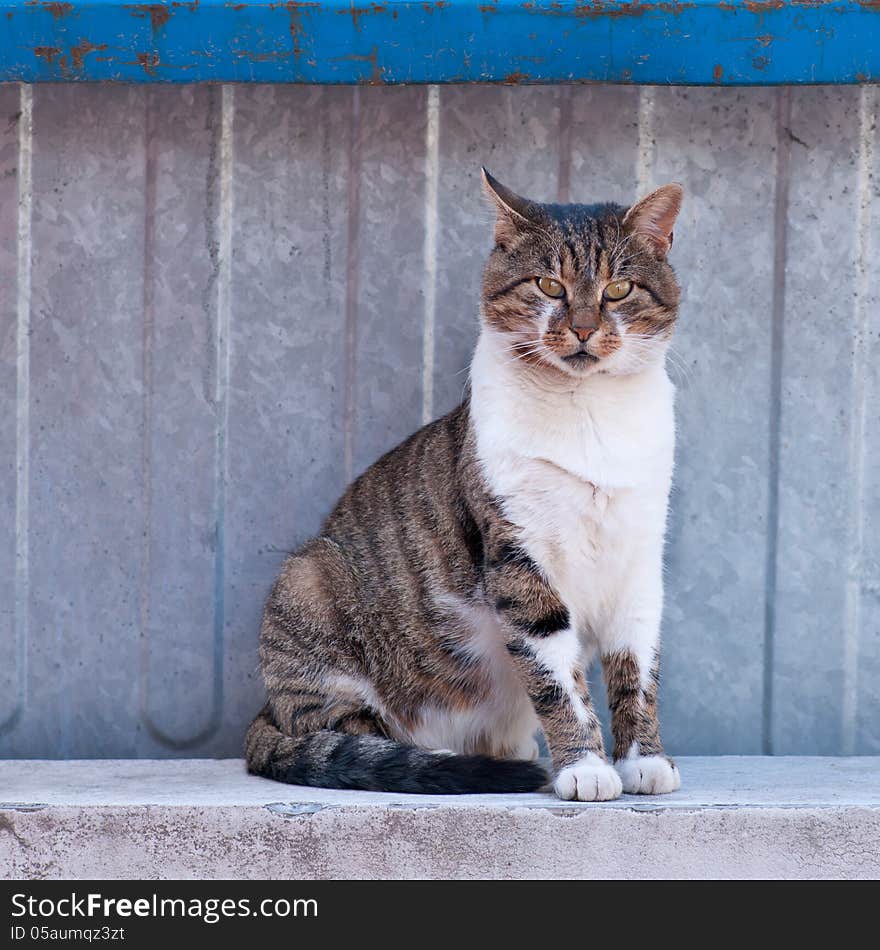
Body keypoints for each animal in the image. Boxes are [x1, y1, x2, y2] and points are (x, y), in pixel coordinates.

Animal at [244, 167, 684, 800]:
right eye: (548, 285)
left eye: (620, 289)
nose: (582, 328)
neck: (588, 412)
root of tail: (267, 710)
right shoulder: (518, 555)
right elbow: (558, 675)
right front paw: (585, 767)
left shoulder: (640, 556)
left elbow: (637, 668)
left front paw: (643, 760)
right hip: (307, 580)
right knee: (337, 731)